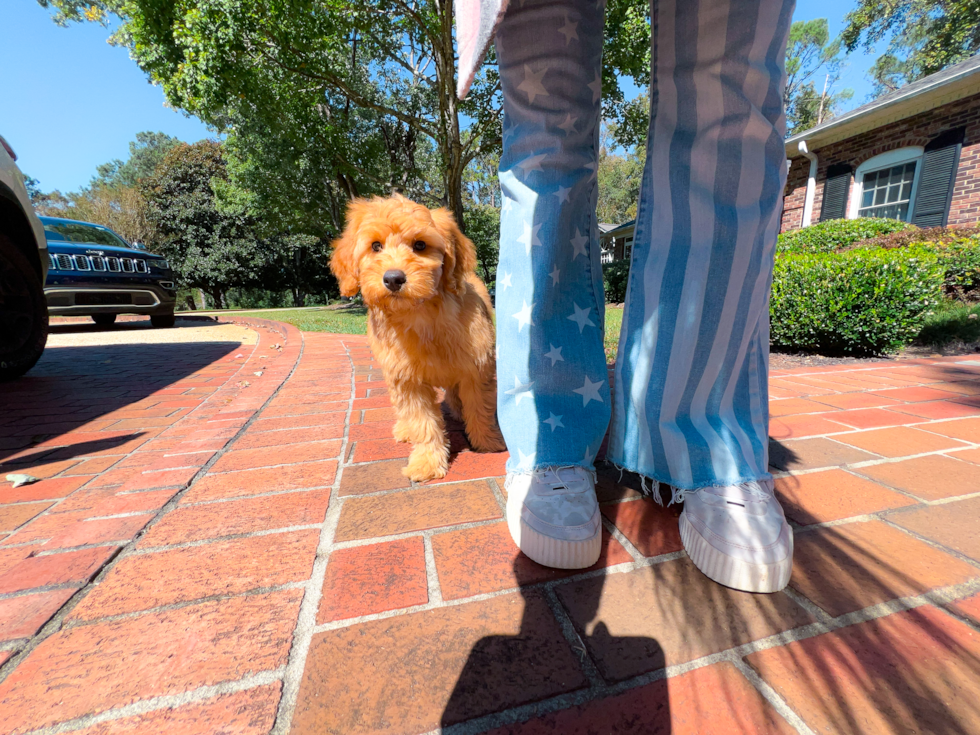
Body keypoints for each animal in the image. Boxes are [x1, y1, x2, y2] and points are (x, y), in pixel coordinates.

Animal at [330, 196, 506, 484]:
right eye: (375, 246)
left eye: (420, 245)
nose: (393, 278)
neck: (421, 315)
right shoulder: (407, 380)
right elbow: (422, 422)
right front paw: (427, 462)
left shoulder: (476, 368)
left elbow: (480, 406)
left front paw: (488, 442)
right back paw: (404, 430)